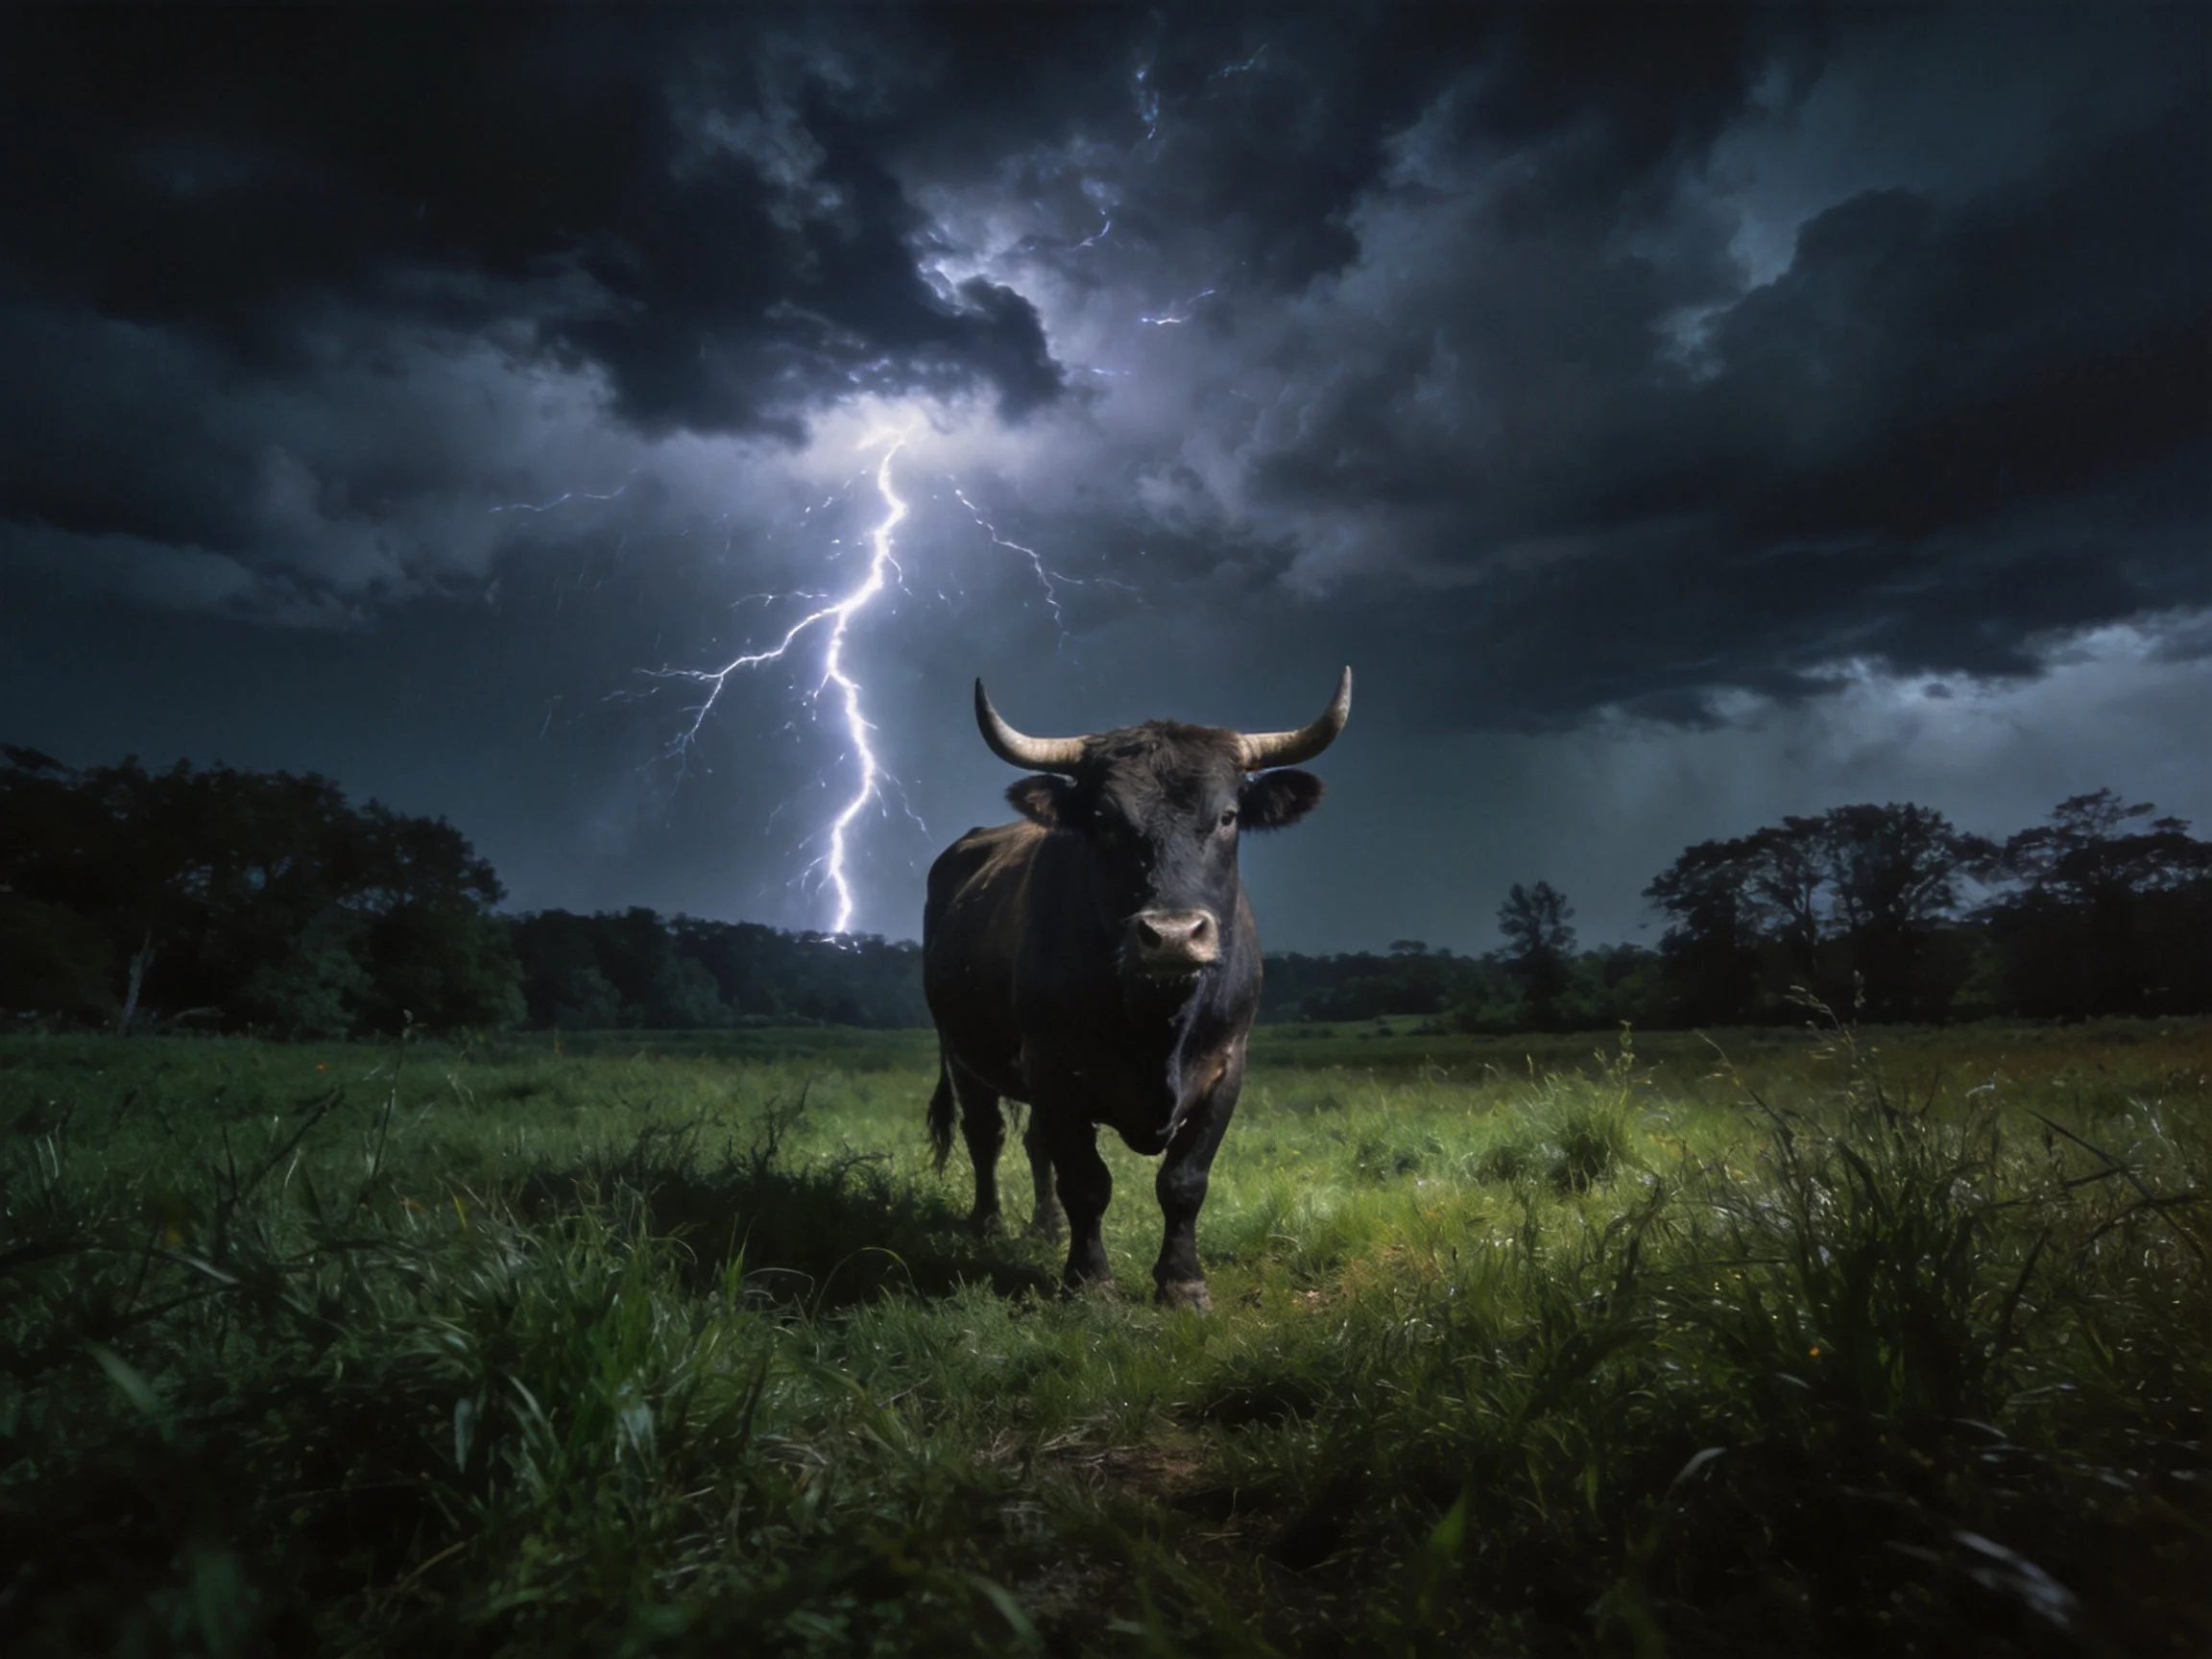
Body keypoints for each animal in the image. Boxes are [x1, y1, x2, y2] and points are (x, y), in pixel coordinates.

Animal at [923, 668, 1351, 1311]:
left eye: (1228, 816)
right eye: (1105, 819)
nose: (1172, 936)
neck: (1157, 1021)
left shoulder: (1226, 1069)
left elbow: (1183, 1182)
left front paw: (1182, 1282)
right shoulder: (1054, 1069)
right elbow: (1086, 1182)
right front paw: (1089, 1281)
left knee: (1034, 1146)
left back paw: (1044, 1229)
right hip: (964, 1055)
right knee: (986, 1135)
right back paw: (989, 1223)